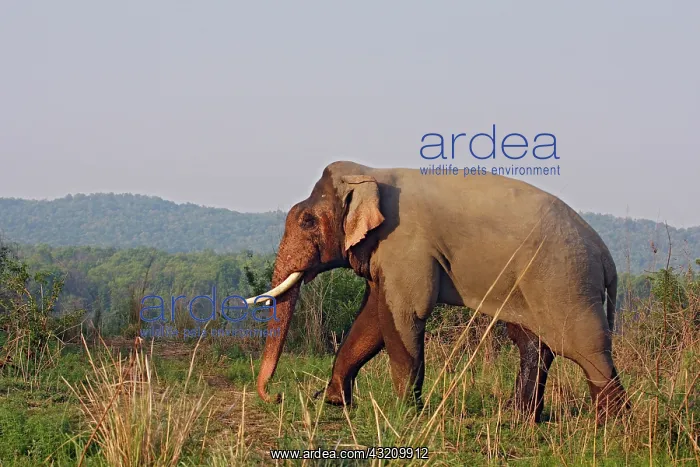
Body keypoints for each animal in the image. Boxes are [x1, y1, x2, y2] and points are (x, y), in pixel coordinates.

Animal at [247, 161, 629, 423]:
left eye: (307, 221)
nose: (277, 396)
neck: (370, 173)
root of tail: (606, 256)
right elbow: (371, 320)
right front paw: (332, 401)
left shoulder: (404, 243)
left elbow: (404, 313)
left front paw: (405, 414)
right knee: (532, 342)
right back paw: (520, 420)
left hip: (564, 279)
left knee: (582, 347)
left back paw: (610, 426)